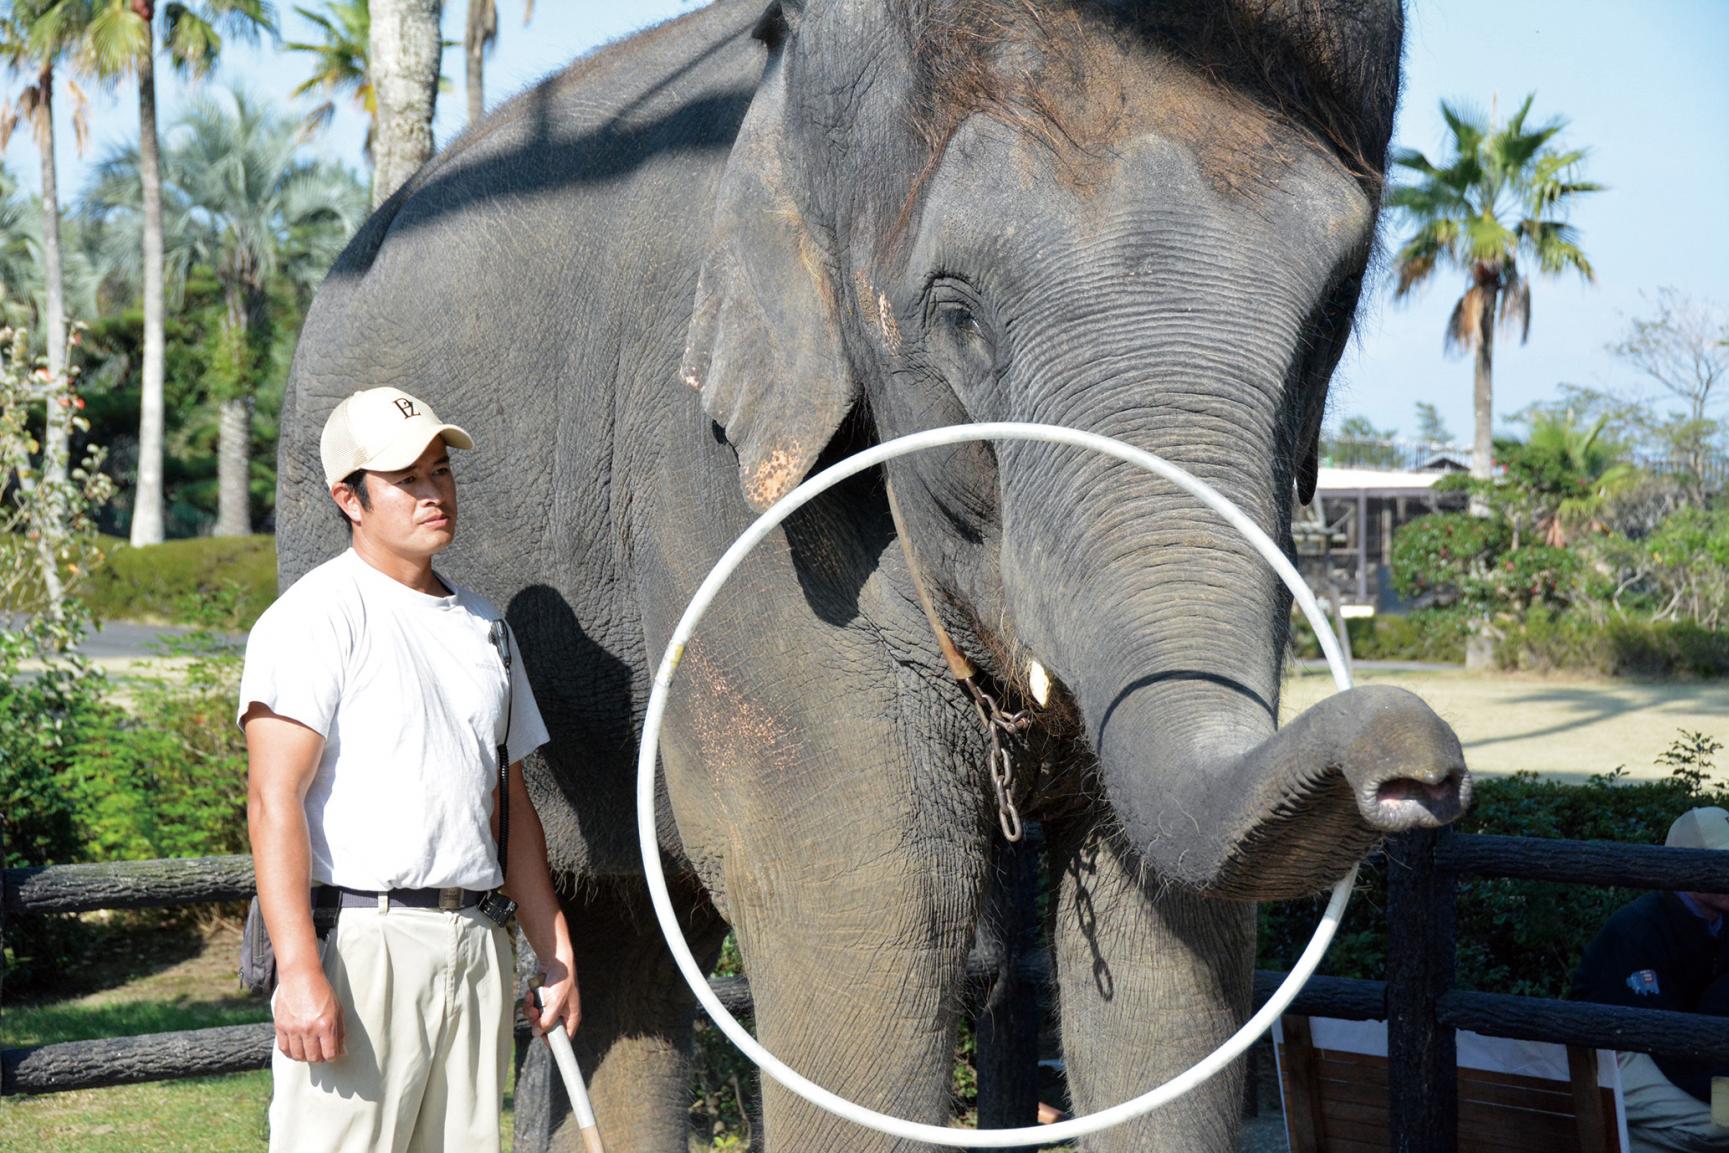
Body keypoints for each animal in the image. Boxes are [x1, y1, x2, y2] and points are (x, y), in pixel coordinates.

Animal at [276, 4, 1466, 1147]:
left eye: (1333, 309)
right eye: (957, 314)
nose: (1418, 769)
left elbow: (1166, 946)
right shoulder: (711, 479)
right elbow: (874, 909)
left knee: (627, 934)